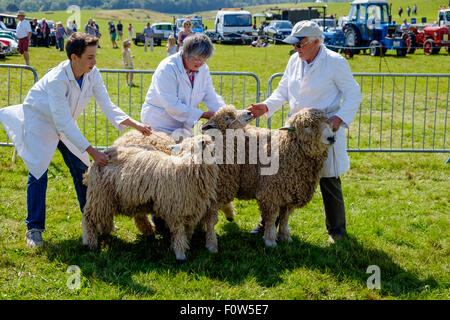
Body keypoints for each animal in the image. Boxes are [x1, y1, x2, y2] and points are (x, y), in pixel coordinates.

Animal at [83, 135, 221, 262]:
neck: (188, 167)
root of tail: (102, 154)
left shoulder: (190, 207)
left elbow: (187, 230)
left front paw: (185, 244)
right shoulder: (174, 209)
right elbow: (177, 231)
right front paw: (180, 254)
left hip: (108, 198)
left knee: (105, 216)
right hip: (99, 195)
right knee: (88, 218)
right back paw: (90, 242)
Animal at [202, 107, 336, 248]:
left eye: (328, 122)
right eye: (306, 126)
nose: (331, 138)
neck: (286, 148)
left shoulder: (290, 193)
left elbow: (284, 218)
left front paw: (285, 237)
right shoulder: (270, 193)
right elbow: (271, 218)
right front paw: (270, 240)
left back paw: (228, 215)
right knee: (211, 215)